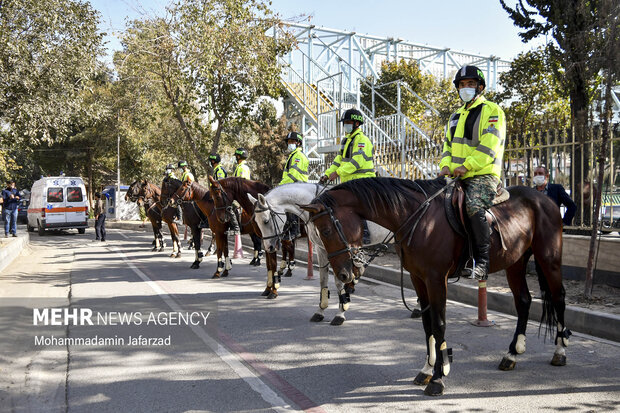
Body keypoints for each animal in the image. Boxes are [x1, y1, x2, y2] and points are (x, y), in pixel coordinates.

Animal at [247, 183, 392, 326]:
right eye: (257, 222)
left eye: (266, 221)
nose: (269, 247)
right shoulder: (321, 249)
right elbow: (323, 280)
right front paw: (320, 310)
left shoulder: (336, 251)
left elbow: (338, 281)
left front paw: (340, 313)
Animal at [302, 177, 572, 396]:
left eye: (326, 230)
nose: (343, 274)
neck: (417, 218)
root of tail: (544, 198)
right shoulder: (418, 279)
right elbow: (427, 324)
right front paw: (428, 368)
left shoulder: (436, 279)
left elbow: (439, 323)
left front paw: (439, 378)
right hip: (515, 262)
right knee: (524, 301)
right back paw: (512, 353)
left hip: (548, 258)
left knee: (558, 297)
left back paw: (560, 351)